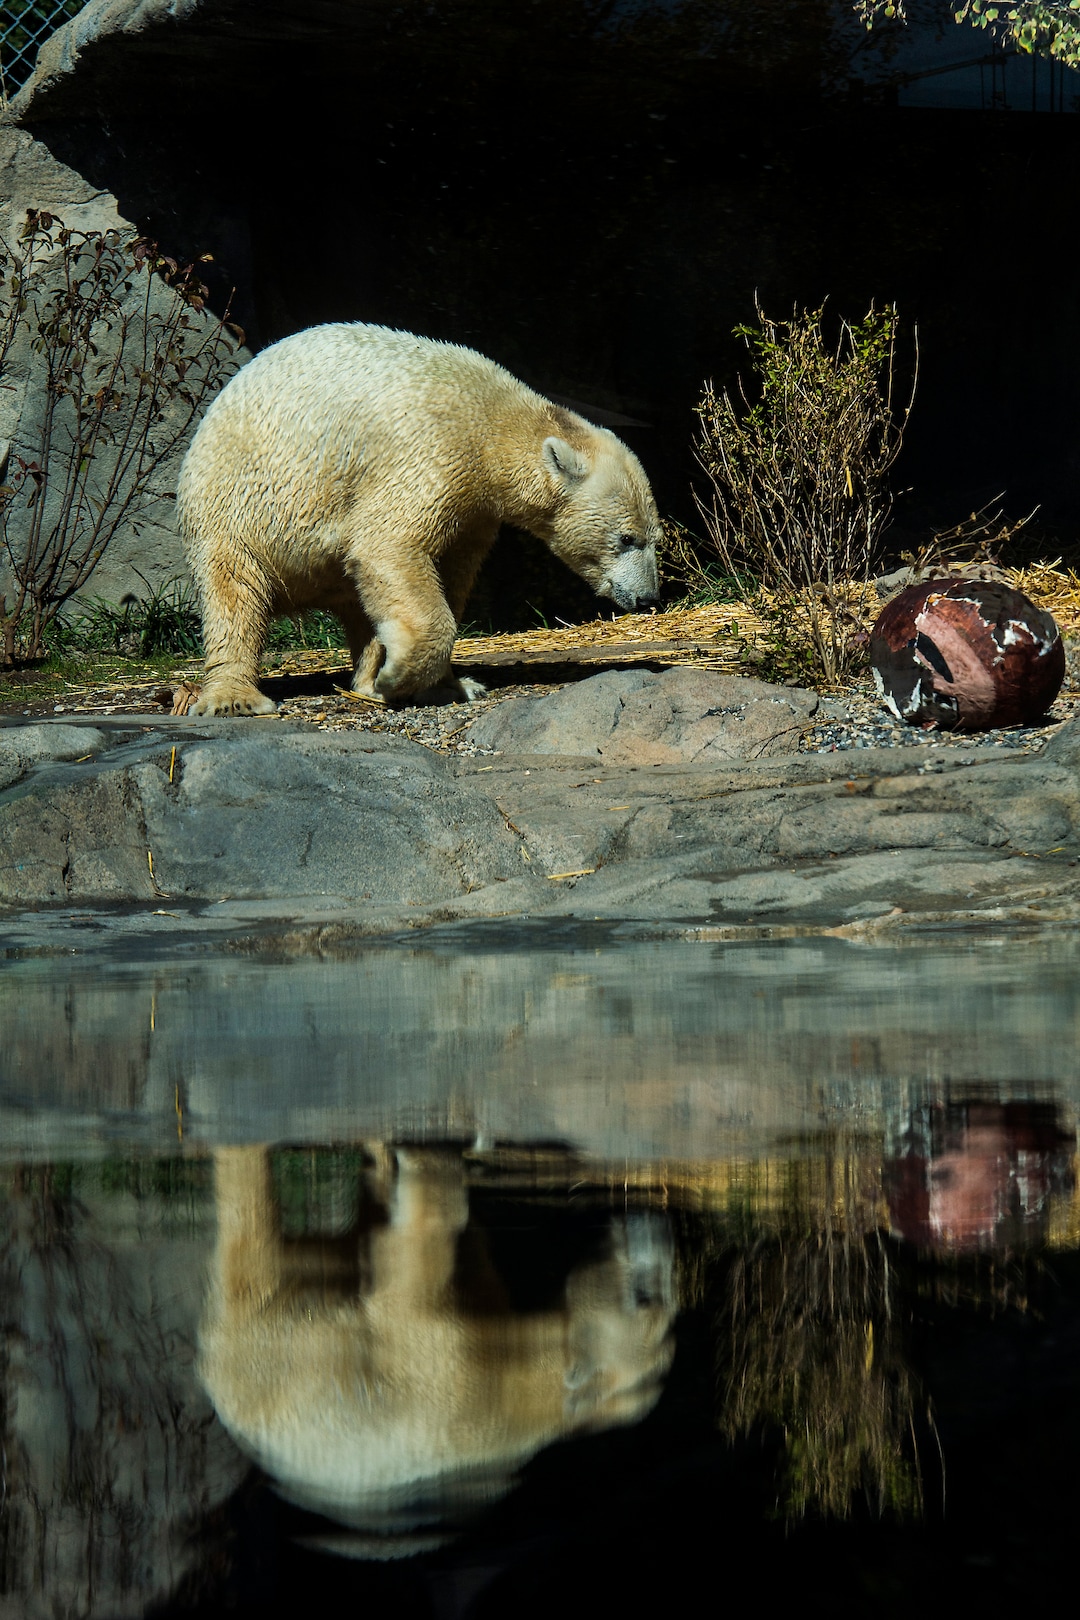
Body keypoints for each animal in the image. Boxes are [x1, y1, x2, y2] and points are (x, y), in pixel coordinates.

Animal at [176, 323, 662, 715]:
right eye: (626, 538)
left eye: (655, 537)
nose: (648, 598)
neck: (493, 424)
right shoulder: (431, 451)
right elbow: (388, 543)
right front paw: (399, 677)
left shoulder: (474, 510)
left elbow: (447, 570)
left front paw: (449, 683)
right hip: (239, 502)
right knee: (235, 592)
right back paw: (235, 697)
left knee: (360, 597)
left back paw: (373, 677)